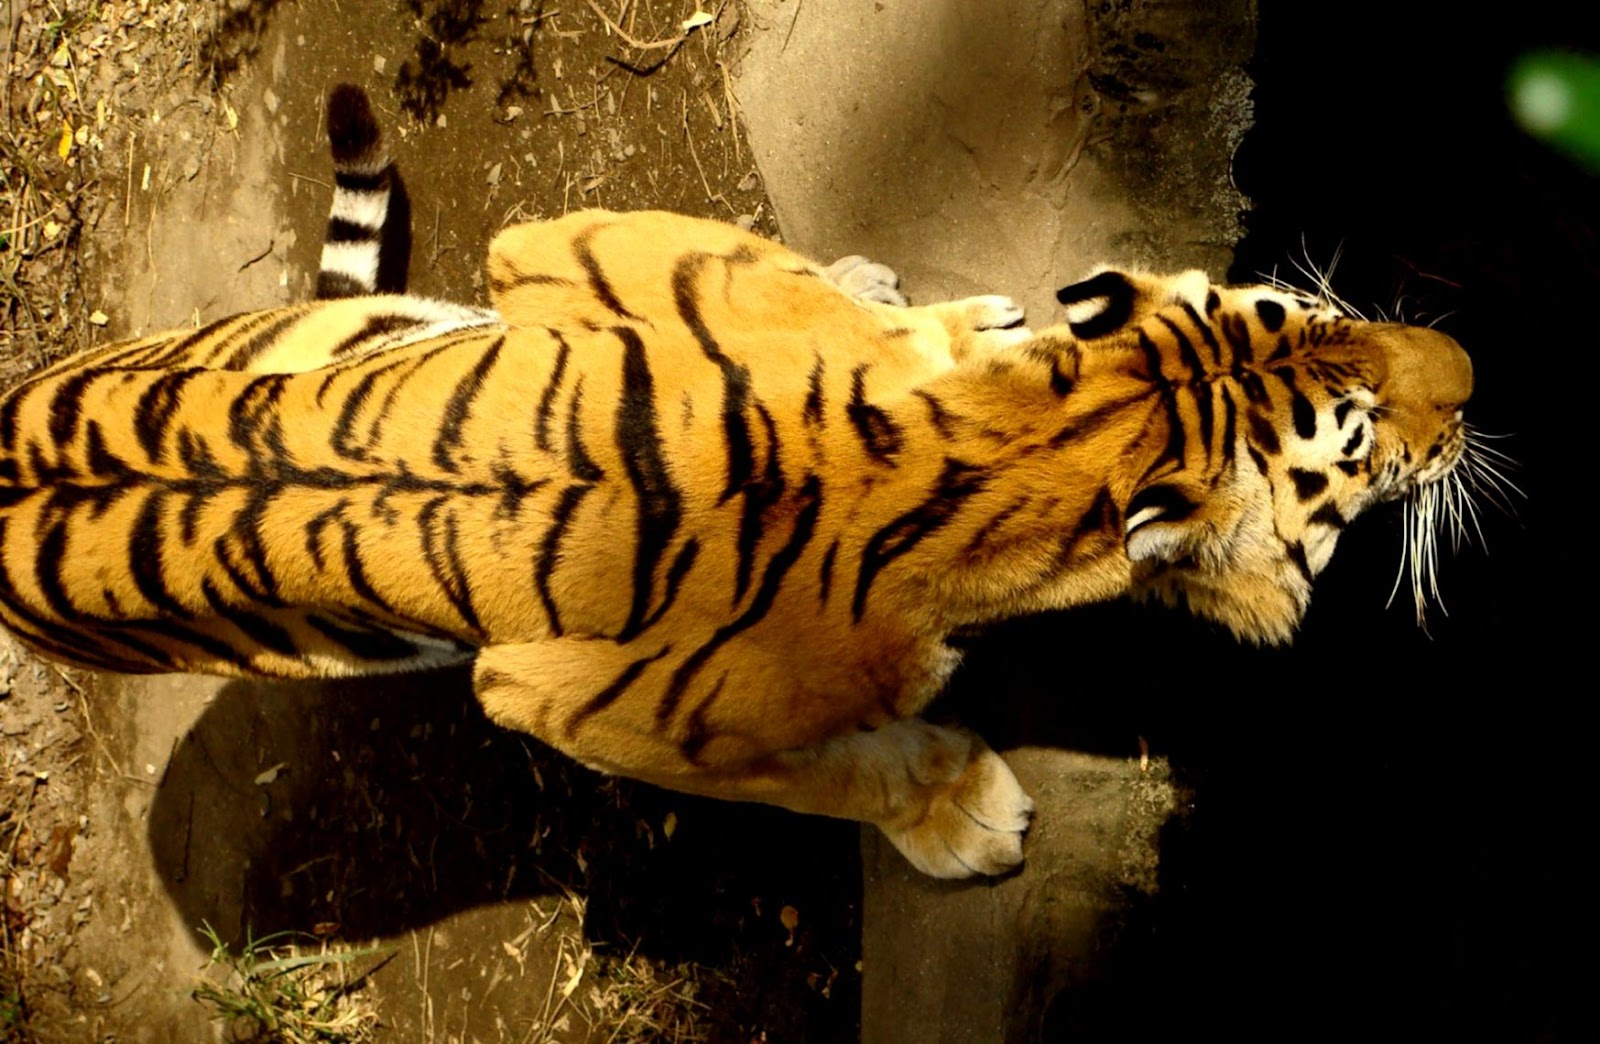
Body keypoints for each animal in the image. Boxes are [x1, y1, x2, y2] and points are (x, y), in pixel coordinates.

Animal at [0, 105, 1476, 882]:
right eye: (1361, 440)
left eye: (1320, 309)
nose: (1467, 372)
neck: (1036, 432)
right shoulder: (581, 706)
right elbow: (816, 779)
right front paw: (960, 813)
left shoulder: (566, 246)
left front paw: (925, 310)